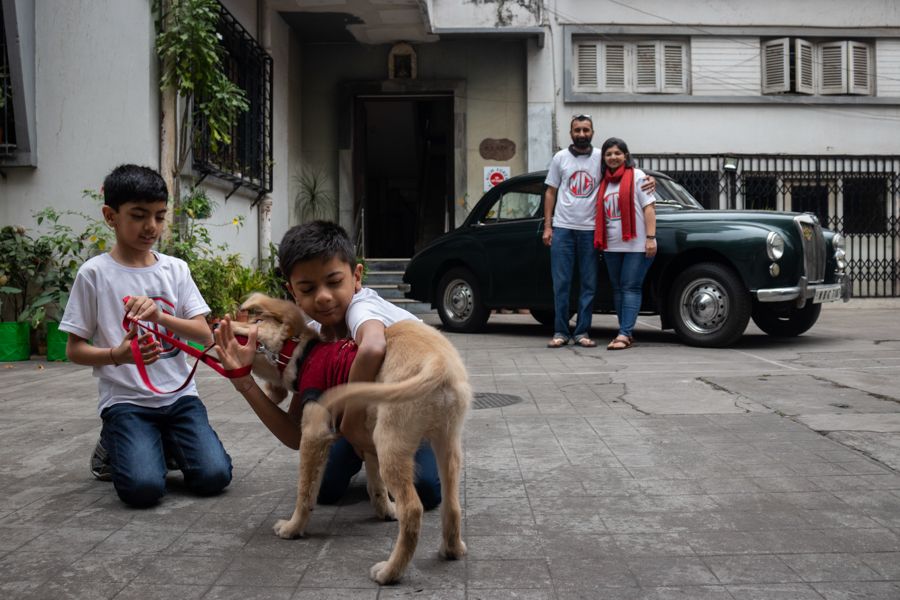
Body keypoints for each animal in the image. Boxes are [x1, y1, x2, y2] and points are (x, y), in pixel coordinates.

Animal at [232, 292, 472, 584]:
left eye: (253, 320)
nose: (217, 324)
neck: (304, 354)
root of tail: (439, 364)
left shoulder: (314, 433)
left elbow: (306, 492)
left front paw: (292, 528)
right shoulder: (365, 439)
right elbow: (375, 484)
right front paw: (385, 511)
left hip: (391, 440)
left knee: (414, 509)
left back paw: (390, 572)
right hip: (447, 440)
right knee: (452, 503)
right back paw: (452, 549)